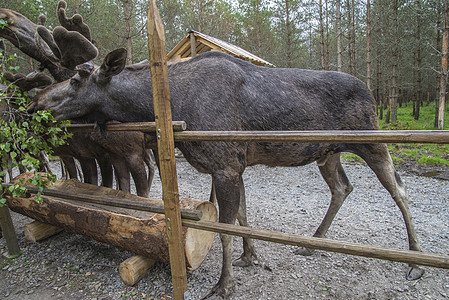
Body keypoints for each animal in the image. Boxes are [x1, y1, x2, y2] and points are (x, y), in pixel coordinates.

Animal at [30, 24, 424, 300]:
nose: (36, 102)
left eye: (77, 78)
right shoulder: (236, 164)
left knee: (399, 189)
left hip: (371, 140)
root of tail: (371, 92)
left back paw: (416, 261)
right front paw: (250, 257)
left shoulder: (225, 165)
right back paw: (313, 242)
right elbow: (244, 219)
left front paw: (224, 284)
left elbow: (225, 229)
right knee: (343, 187)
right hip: (328, 152)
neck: (173, 103)